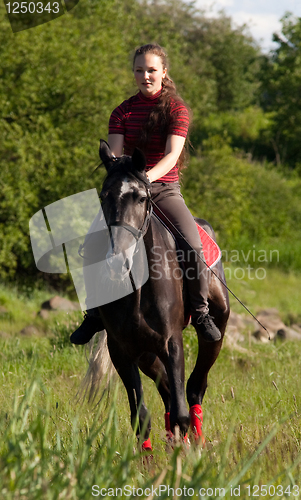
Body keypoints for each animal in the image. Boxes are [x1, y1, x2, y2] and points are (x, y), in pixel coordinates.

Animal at [81, 139, 229, 452]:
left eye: (140, 198)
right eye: (104, 195)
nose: (118, 260)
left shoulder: (172, 343)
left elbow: (181, 411)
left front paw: (183, 456)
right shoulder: (121, 349)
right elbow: (140, 416)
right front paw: (146, 460)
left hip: (217, 328)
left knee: (195, 388)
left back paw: (196, 441)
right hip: (145, 352)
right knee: (167, 390)